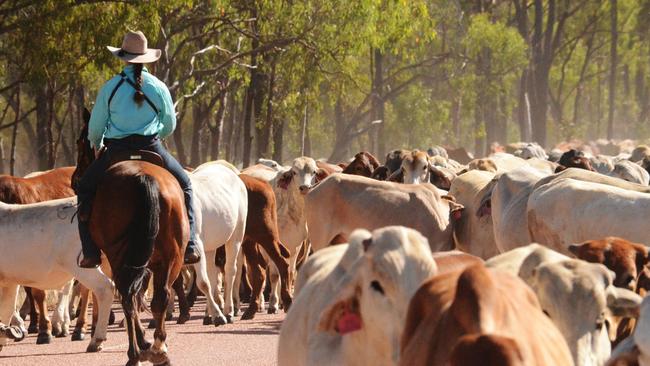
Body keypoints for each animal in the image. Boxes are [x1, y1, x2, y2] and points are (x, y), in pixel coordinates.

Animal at [74, 113, 189, 364]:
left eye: (80, 141)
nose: (75, 179)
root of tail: (142, 177)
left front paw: (142, 340)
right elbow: (142, 294)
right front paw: (147, 340)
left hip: (119, 254)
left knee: (128, 294)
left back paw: (136, 353)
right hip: (172, 256)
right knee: (158, 296)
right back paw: (158, 349)